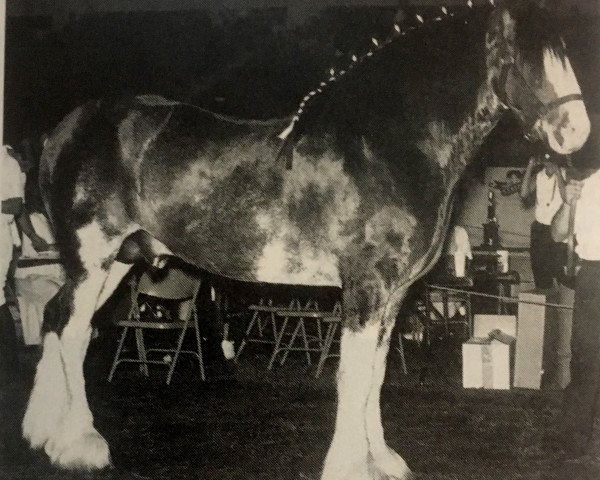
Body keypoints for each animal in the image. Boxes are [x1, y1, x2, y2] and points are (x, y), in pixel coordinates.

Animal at [21, 1, 588, 478]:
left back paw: (41, 432)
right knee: (72, 330)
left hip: (117, 260)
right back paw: (80, 445)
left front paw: (383, 459)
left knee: (57, 318)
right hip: (92, 256)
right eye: (527, 54)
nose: (576, 133)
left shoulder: (393, 294)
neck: (389, 144)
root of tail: (61, 131)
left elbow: (376, 373)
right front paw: (350, 467)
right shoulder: (365, 288)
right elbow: (353, 376)